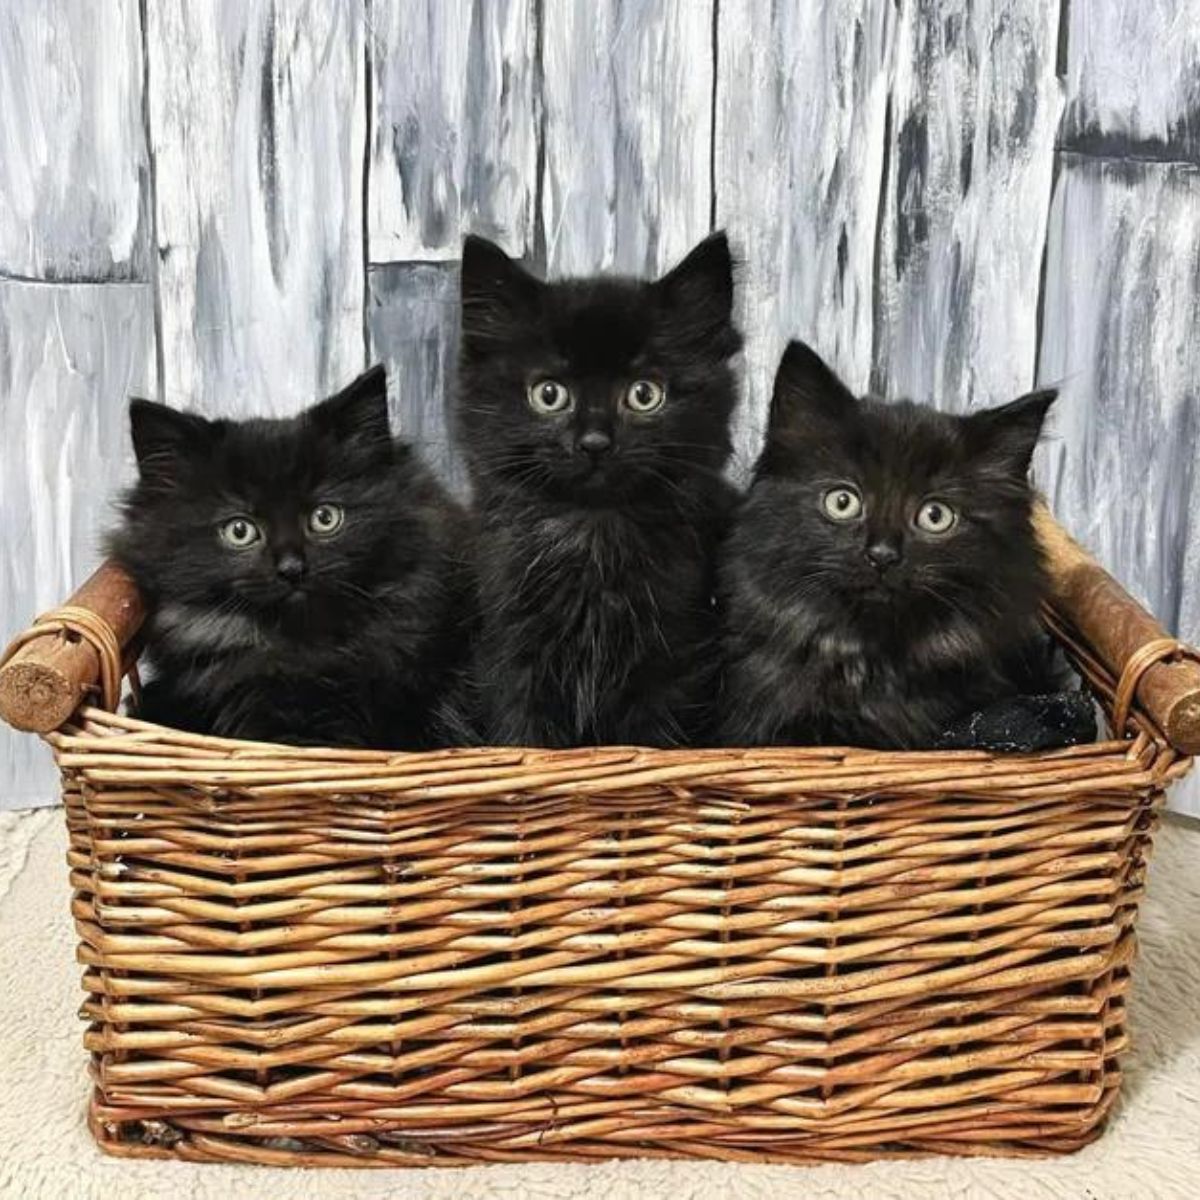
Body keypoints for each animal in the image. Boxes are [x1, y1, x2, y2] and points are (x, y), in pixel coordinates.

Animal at [451, 229, 739, 744]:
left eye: (645, 394)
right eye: (548, 394)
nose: (594, 443)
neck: (592, 533)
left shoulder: (675, 655)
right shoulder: (508, 649)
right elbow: (523, 735)